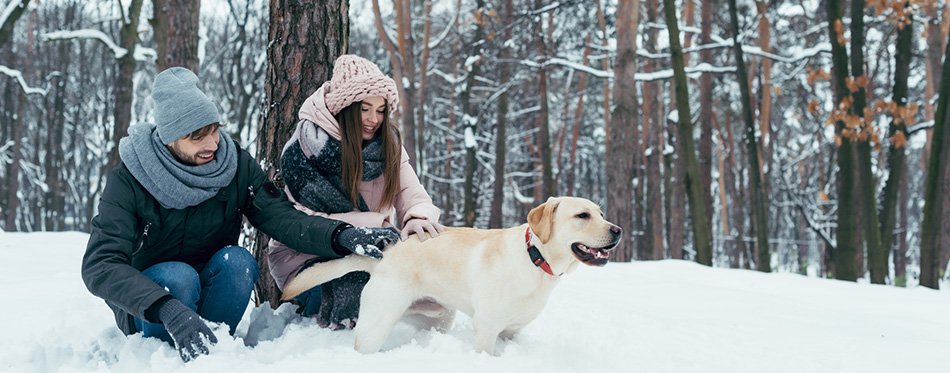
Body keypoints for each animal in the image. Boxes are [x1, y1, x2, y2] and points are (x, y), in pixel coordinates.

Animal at [282, 196, 624, 354]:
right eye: (582, 215)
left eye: (602, 213)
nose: (618, 230)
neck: (535, 259)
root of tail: (386, 254)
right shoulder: (486, 329)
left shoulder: (511, 331)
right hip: (376, 323)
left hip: (439, 318)